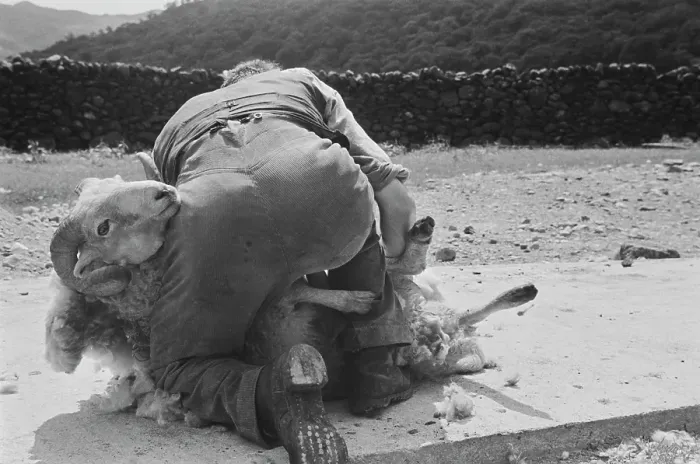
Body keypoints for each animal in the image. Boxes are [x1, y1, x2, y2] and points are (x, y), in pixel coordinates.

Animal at [45, 152, 538, 426]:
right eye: (102, 227)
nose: (163, 192)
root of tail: (440, 327)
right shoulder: (269, 313)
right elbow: (293, 294)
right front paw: (353, 299)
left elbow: (302, 288)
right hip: (422, 336)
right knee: (437, 320)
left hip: (418, 306)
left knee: (410, 273)